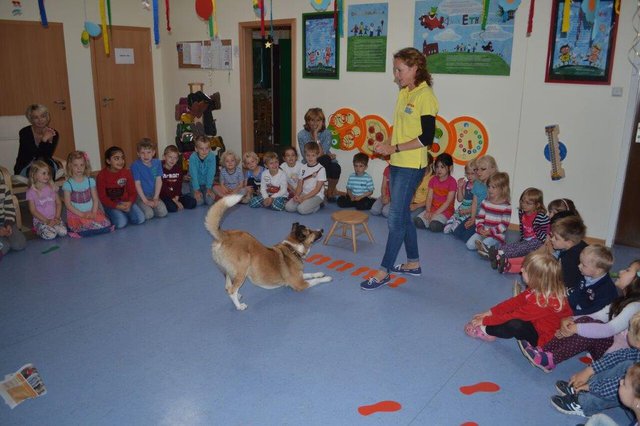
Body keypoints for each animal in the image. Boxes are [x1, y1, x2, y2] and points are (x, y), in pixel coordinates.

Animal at [206, 194, 336, 310]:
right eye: (310, 232)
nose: (322, 230)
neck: (292, 248)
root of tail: (224, 236)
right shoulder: (299, 283)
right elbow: (315, 280)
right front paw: (327, 278)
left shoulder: (299, 276)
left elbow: (310, 274)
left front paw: (320, 273)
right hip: (241, 271)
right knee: (232, 290)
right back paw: (239, 306)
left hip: (228, 272)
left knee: (228, 287)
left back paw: (238, 295)